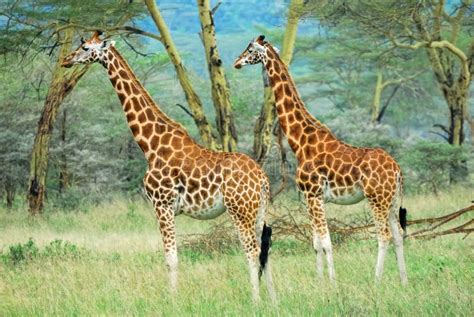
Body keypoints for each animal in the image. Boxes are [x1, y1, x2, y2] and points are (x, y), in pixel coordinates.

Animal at [63, 31, 278, 302]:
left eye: (84, 47)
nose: (66, 60)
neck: (151, 144)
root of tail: (262, 179)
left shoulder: (162, 205)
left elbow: (171, 259)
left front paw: (172, 300)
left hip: (240, 210)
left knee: (251, 251)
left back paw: (255, 300)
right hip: (259, 211)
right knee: (264, 250)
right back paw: (274, 300)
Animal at [233, 35, 408, 284]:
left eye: (249, 49)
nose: (236, 62)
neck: (301, 142)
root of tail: (397, 170)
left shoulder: (313, 194)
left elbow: (326, 241)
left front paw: (332, 282)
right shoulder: (311, 197)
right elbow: (316, 242)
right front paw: (319, 282)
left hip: (377, 198)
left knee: (383, 235)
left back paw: (376, 281)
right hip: (391, 200)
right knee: (398, 234)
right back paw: (404, 280)